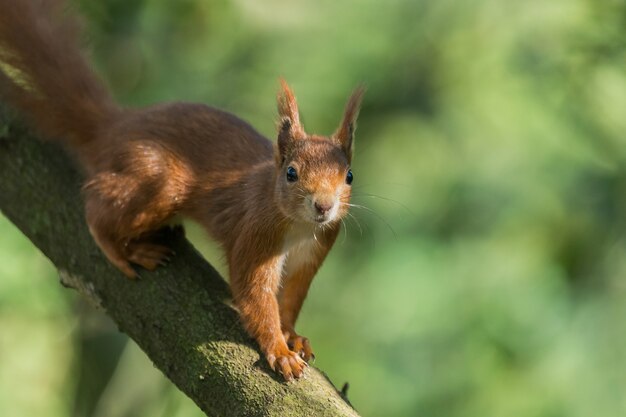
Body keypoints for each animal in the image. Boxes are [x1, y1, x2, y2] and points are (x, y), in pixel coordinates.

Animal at [0, 0, 364, 380]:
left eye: (349, 176)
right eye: (291, 173)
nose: (323, 205)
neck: (299, 226)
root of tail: (114, 128)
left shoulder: (314, 250)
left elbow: (290, 299)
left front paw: (292, 335)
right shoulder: (255, 235)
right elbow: (255, 296)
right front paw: (278, 349)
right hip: (159, 183)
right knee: (96, 208)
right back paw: (123, 250)